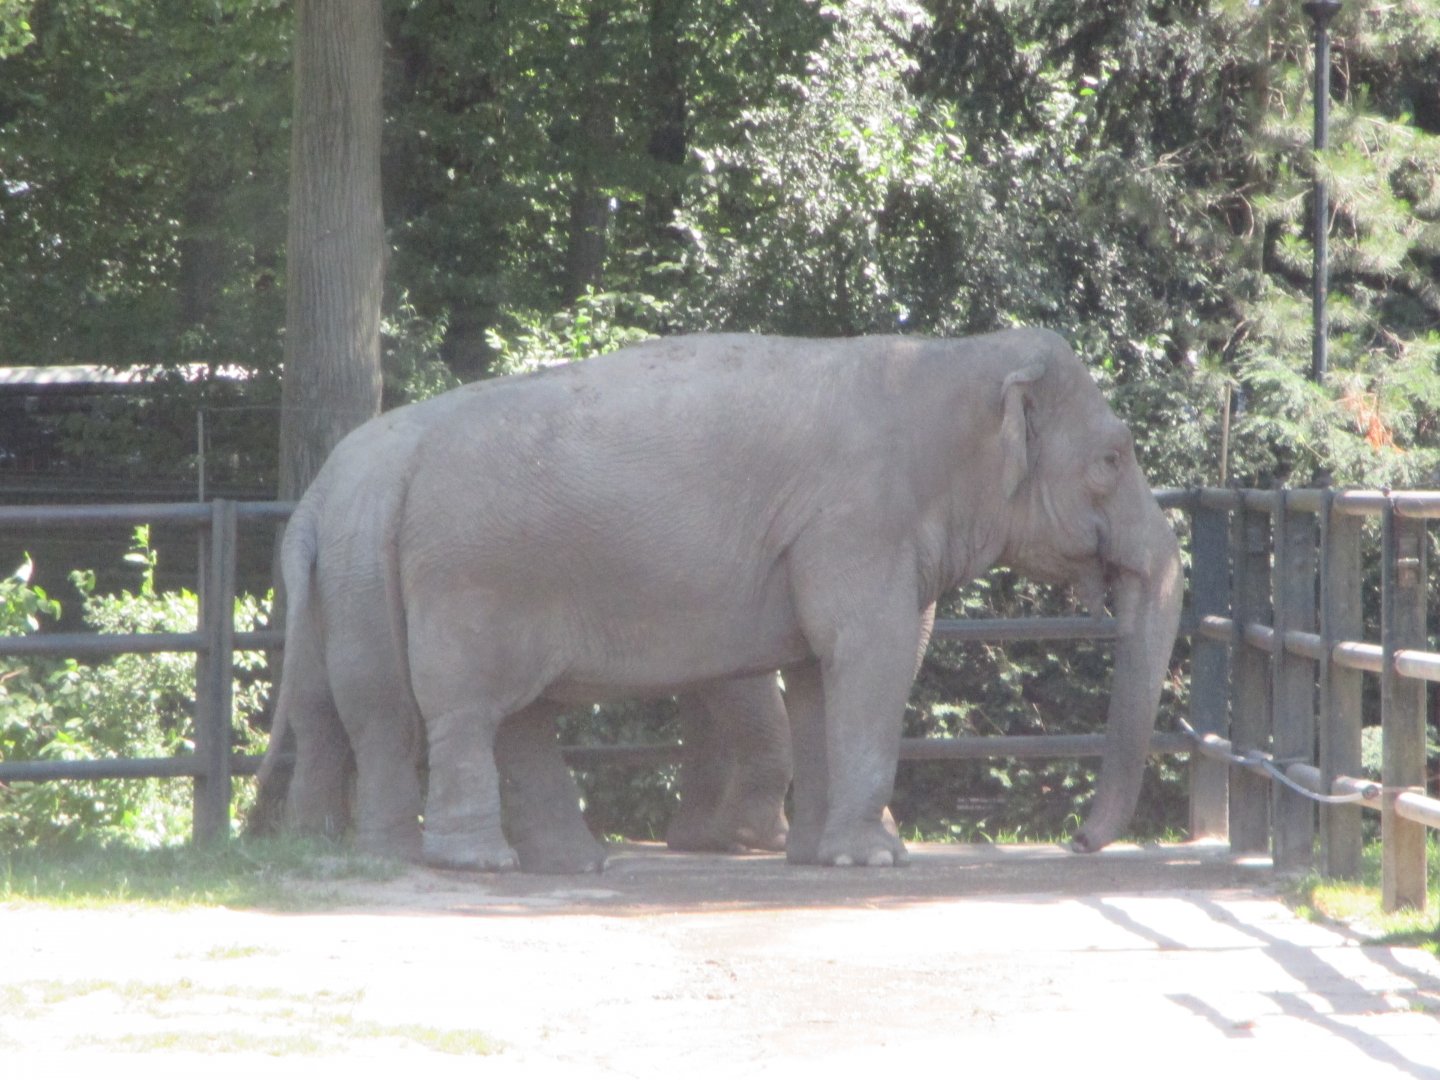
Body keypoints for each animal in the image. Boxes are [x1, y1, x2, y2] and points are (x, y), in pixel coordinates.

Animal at [253, 385, 793, 872]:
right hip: (365, 579)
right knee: (380, 712)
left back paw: (313, 840)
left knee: (320, 713)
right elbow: (738, 682)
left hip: (335, 586)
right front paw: (755, 840)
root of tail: (312, 505)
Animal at [388, 328, 1182, 870]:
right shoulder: (856, 518)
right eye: (1113, 459)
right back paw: (478, 862)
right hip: (473, 583)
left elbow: (816, 672)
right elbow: (868, 650)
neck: (953, 356)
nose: (1077, 842)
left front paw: (821, 855)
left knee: (512, 717)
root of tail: (415, 459)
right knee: (468, 711)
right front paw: (873, 859)